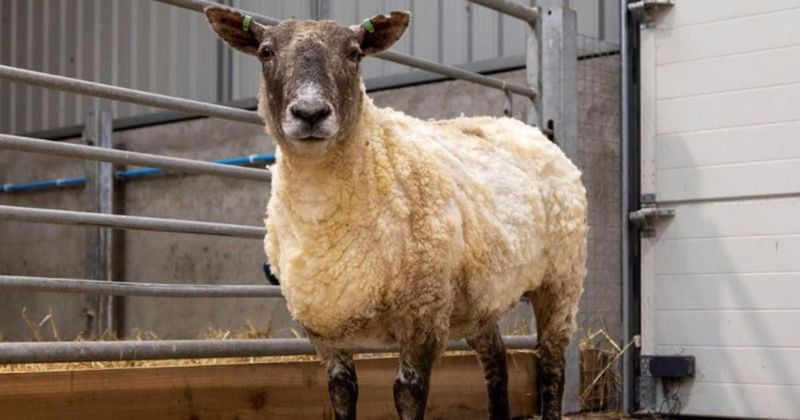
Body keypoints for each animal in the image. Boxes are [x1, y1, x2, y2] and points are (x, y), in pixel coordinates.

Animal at [205, 7, 587, 420]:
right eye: (265, 52)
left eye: (354, 53)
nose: (310, 113)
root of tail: (525, 129)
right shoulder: (324, 329)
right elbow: (341, 392)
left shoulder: (422, 316)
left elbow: (408, 393)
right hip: (476, 301)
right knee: (497, 360)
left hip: (561, 280)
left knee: (552, 365)